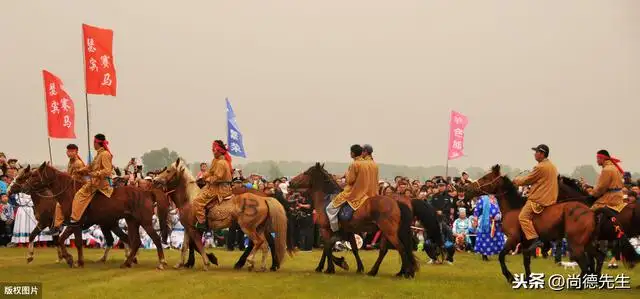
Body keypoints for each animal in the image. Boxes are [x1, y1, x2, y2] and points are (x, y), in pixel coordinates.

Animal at [22, 163, 170, 270]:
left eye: (34, 175)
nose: (25, 187)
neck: (69, 193)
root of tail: (147, 192)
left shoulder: (74, 223)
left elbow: (68, 241)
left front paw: (73, 260)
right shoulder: (73, 224)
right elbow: (69, 241)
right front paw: (75, 260)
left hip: (144, 222)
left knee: (155, 239)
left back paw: (161, 262)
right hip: (131, 222)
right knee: (135, 242)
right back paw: (127, 262)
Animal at [151, 159, 292, 272]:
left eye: (168, 171)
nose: (154, 180)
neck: (189, 199)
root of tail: (264, 198)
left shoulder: (194, 229)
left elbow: (197, 245)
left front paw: (208, 262)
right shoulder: (188, 228)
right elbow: (185, 247)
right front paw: (180, 263)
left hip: (248, 227)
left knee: (259, 242)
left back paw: (250, 262)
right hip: (259, 228)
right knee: (264, 245)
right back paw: (263, 266)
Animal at [288, 163, 418, 278]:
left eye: (306, 173)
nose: (290, 182)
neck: (326, 199)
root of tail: (396, 201)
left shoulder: (326, 229)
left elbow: (327, 247)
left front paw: (332, 266)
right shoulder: (347, 232)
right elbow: (352, 248)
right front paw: (357, 267)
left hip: (390, 232)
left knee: (401, 248)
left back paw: (407, 273)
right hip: (387, 232)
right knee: (386, 250)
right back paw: (378, 271)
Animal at [464, 165, 600, 282]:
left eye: (486, 178)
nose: (468, 189)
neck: (513, 207)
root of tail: (590, 211)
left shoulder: (513, 239)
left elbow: (501, 256)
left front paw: (510, 276)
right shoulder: (525, 243)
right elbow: (526, 261)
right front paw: (528, 280)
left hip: (576, 244)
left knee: (585, 265)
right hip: (586, 243)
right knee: (595, 259)